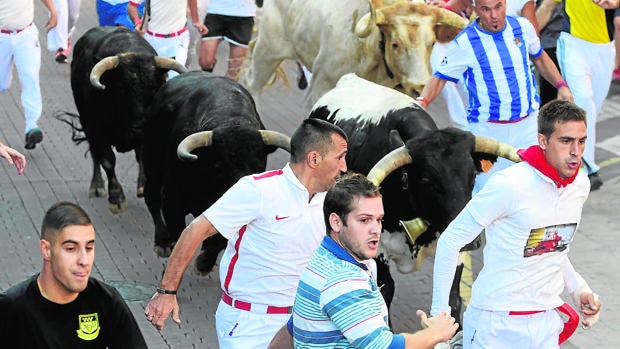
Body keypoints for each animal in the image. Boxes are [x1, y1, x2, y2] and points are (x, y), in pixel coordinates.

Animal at [68, 25, 186, 212]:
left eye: (153, 87)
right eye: (123, 88)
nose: (140, 127)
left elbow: (142, 155)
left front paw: (143, 185)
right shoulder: (95, 128)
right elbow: (108, 159)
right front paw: (116, 197)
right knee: (95, 154)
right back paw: (97, 186)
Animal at [142, 70, 292, 258]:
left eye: (258, 166)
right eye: (219, 165)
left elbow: (216, 242)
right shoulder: (172, 202)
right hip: (151, 162)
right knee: (151, 196)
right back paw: (161, 242)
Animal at [308, 73, 520, 324]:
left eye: (472, 175)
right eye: (428, 180)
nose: (472, 240)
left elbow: (452, 300)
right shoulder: (378, 249)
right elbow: (385, 291)